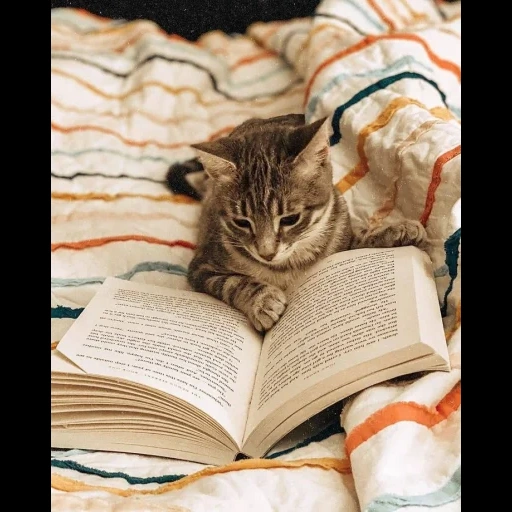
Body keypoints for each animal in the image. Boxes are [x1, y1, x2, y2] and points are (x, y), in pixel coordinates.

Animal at [166, 113, 426, 332]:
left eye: (290, 219)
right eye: (242, 222)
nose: (267, 253)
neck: (288, 265)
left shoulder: (341, 233)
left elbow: (361, 236)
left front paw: (398, 229)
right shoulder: (202, 266)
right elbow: (233, 282)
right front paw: (262, 299)